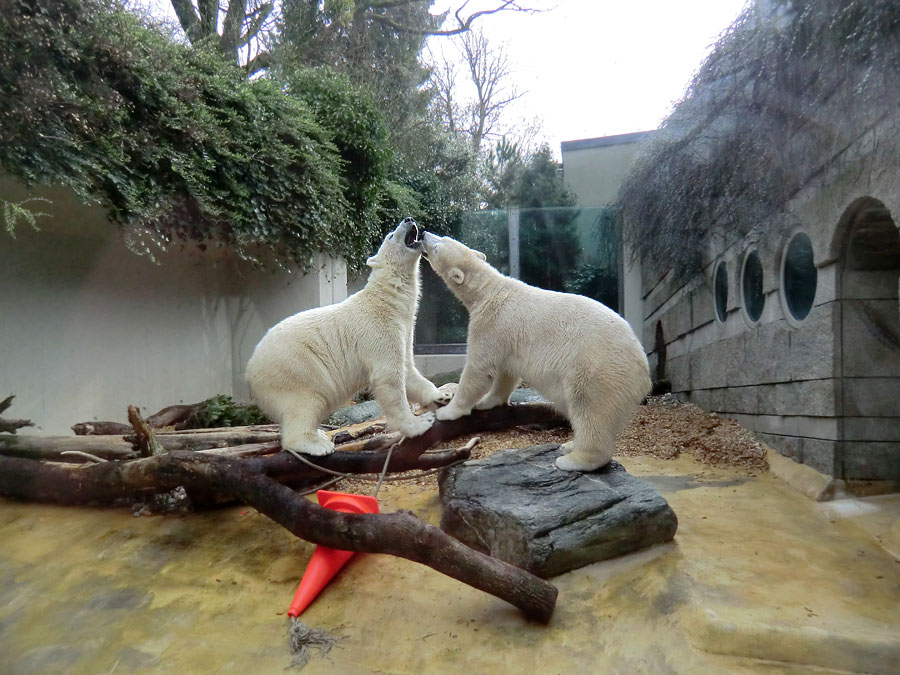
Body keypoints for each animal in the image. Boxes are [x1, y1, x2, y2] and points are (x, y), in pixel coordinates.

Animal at [246, 219, 446, 456]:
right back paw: (317, 444)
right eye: (390, 235)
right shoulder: (379, 330)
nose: (408, 220)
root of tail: (249, 372)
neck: (385, 301)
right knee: (304, 403)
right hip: (294, 369)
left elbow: (407, 369)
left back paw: (319, 434)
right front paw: (419, 423)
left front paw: (440, 395)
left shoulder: (404, 328)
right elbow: (389, 376)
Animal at [420, 235, 648, 472]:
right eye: (442, 238)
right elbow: (506, 372)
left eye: (437, 247)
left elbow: (479, 368)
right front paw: (488, 401)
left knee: (588, 407)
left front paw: (449, 410)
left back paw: (573, 459)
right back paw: (569, 445)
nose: (424, 235)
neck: (488, 290)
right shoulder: (507, 336)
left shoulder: (491, 323)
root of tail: (643, 371)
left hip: (599, 368)